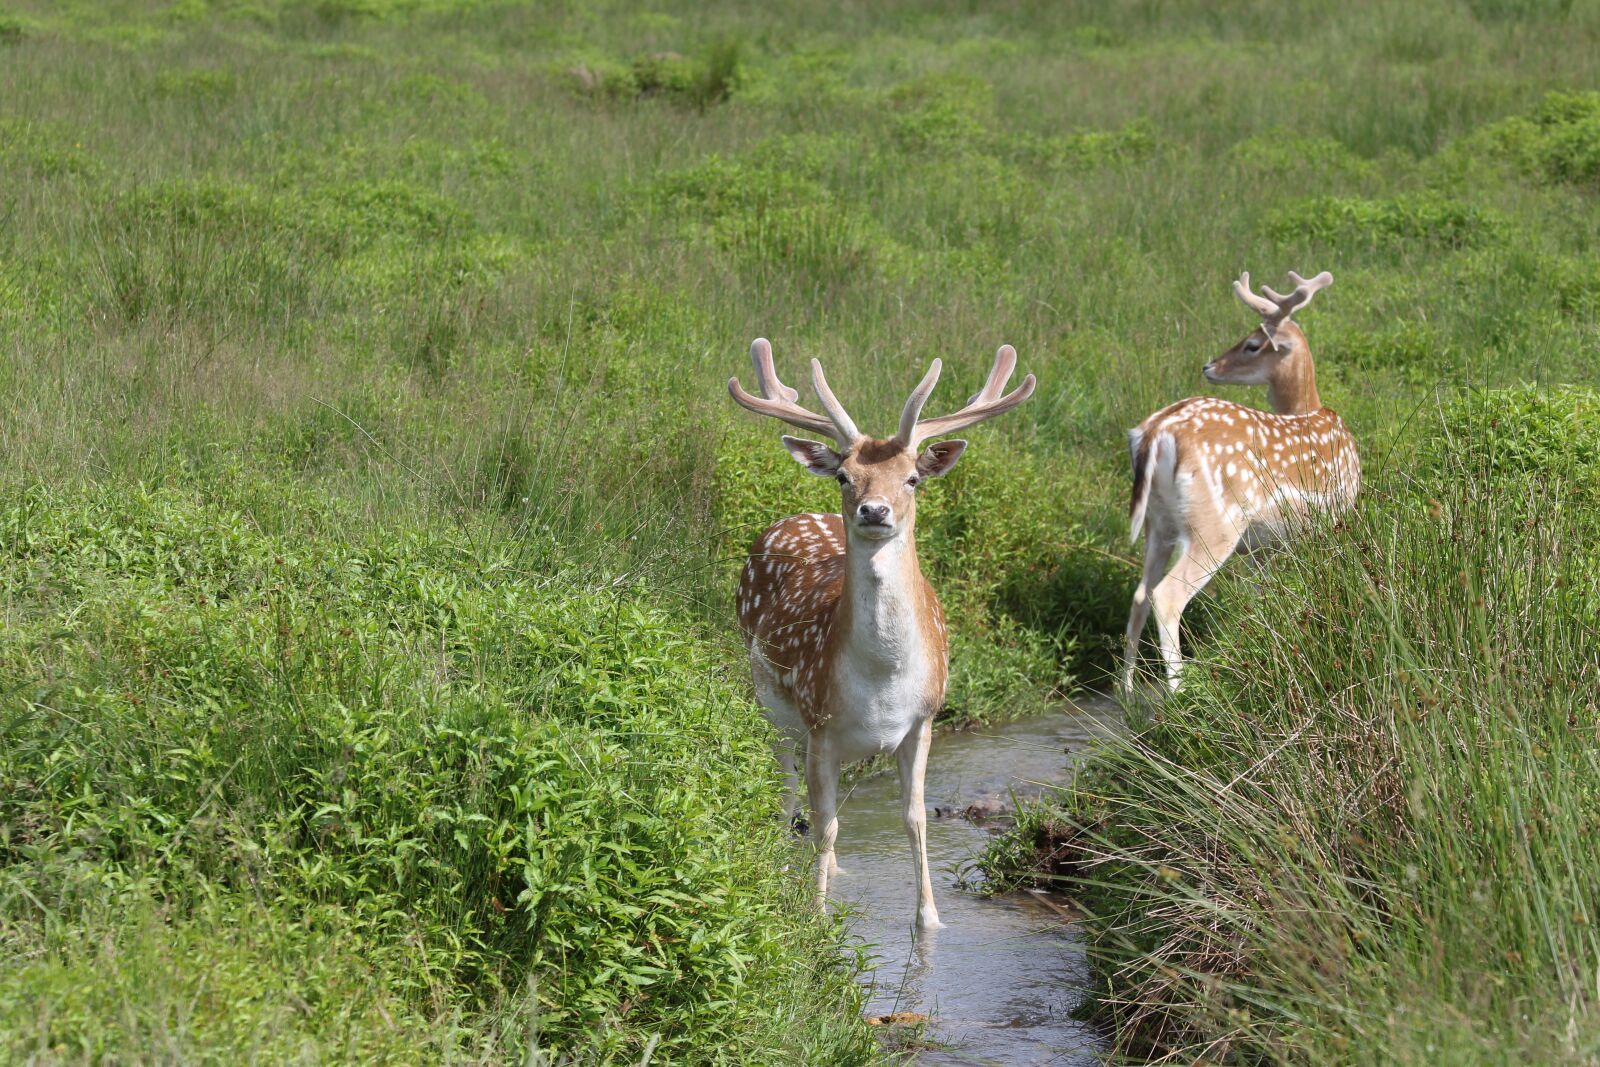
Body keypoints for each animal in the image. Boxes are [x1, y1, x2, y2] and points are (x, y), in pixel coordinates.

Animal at [728, 338, 1035, 930]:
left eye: (913, 477)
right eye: (845, 476)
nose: (874, 510)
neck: (882, 681)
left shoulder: (924, 719)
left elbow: (914, 819)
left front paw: (929, 919)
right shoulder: (820, 721)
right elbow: (824, 821)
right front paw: (817, 917)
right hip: (771, 705)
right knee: (788, 789)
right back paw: (787, 864)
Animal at [1121, 270, 1360, 695]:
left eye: (1251, 344)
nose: (1209, 366)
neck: (1311, 409)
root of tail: (1155, 434)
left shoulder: (1265, 546)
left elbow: (1264, 597)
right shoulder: (1332, 520)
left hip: (1158, 522)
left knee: (1140, 594)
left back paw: (1128, 693)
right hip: (1215, 523)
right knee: (1168, 596)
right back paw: (1180, 694)